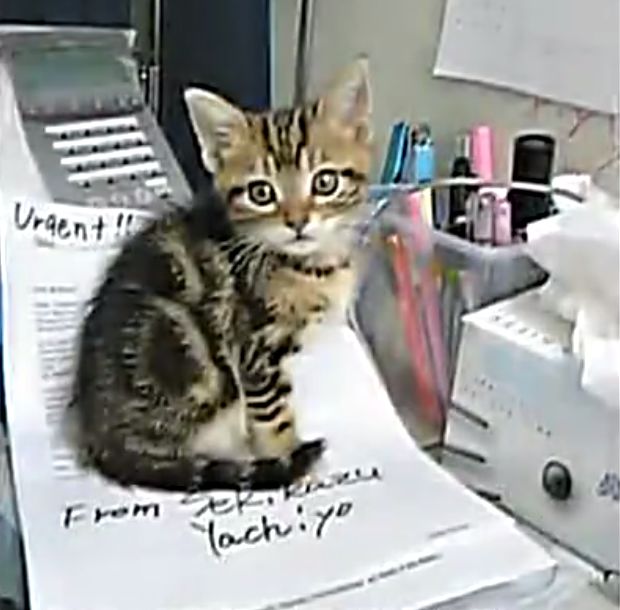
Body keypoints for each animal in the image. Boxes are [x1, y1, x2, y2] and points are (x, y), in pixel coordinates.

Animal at [67, 57, 373, 492]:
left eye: (325, 182)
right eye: (261, 193)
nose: (297, 222)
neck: (307, 264)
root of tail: (100, 436)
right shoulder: (255, 346)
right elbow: (273, 413)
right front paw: (291, 460)